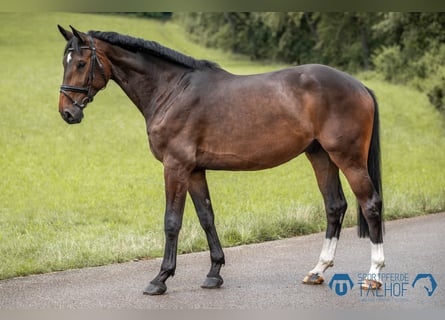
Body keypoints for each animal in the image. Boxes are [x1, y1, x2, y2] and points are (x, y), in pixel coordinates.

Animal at [57, 26, 384, 296]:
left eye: (81, 63)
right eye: (65, 61)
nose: (67, 113)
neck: (173, 90)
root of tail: (359, 86)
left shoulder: (175, 166)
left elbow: (172, 222)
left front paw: (161, 278)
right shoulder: (195, 170)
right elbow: (206, 217)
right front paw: (214, 273)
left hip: (348, 158)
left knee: (370, 204)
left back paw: (374, 275)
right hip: (321, 155)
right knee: (334, 206)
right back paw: (318, 270)